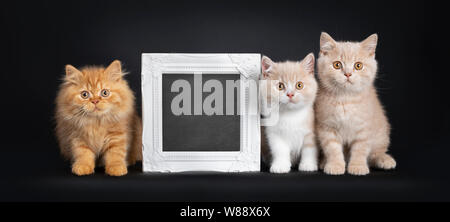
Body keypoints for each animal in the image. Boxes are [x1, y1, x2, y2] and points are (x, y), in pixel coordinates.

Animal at [314, 32, 396, 176]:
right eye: (337, 65)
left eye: (358, 65)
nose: (348, 74)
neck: (346, 100)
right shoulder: (326, 127)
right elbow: (332, 149)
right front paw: (335, 165)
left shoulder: (365, 128)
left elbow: (360, 149)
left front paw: (358, 166)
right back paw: (324, 162)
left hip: (382, 134)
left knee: (376, 153)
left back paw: (384, 159)